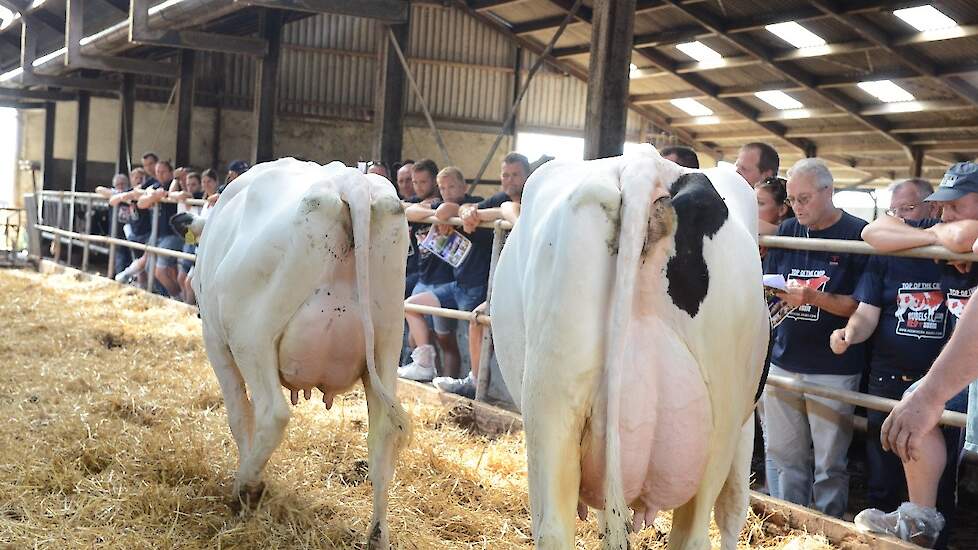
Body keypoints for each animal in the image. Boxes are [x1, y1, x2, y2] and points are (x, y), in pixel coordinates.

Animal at [191, 157, 408, 548]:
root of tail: (351, 182)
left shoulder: (215, 341)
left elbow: (239, 416)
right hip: (386, 346)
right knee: (384, 433)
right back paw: (377, 534)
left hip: (253, 338)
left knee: (271, 413)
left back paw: (244, 488)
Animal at [492, 147, 768, 550]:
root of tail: (647, 165)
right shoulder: (745, 427)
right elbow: (733, 506)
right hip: (721, 422)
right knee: (693, 533)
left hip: (552, 405)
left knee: (554, 527)